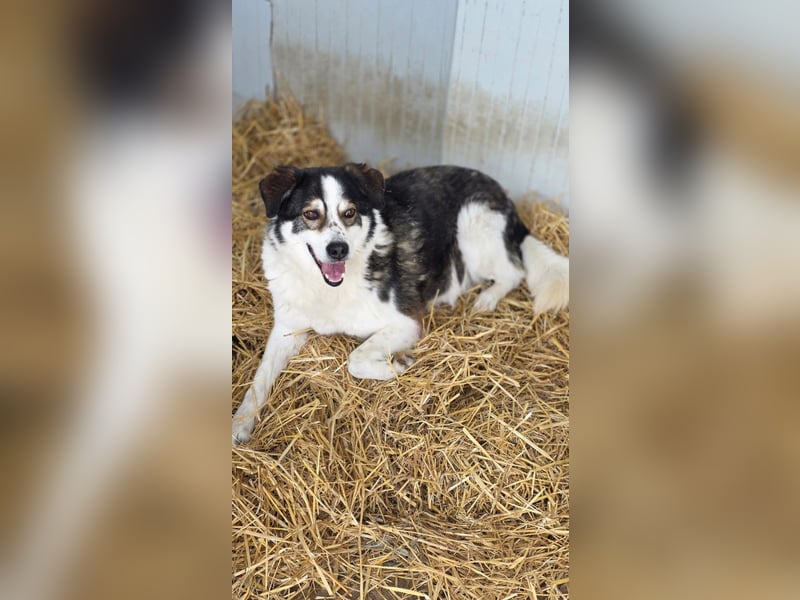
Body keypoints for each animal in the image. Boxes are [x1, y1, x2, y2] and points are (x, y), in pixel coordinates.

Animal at [232, 163, 569, 444]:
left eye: (350, 213)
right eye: (310, 214)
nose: (339, 249)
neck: (326, 288)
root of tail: (502, 194)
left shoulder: (406, 322)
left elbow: (355, 359)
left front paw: (397, 365)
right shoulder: (287, 329)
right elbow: (258, 380)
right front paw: (240, 422)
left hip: (473, 227)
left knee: (514, 271)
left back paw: (486, 299)